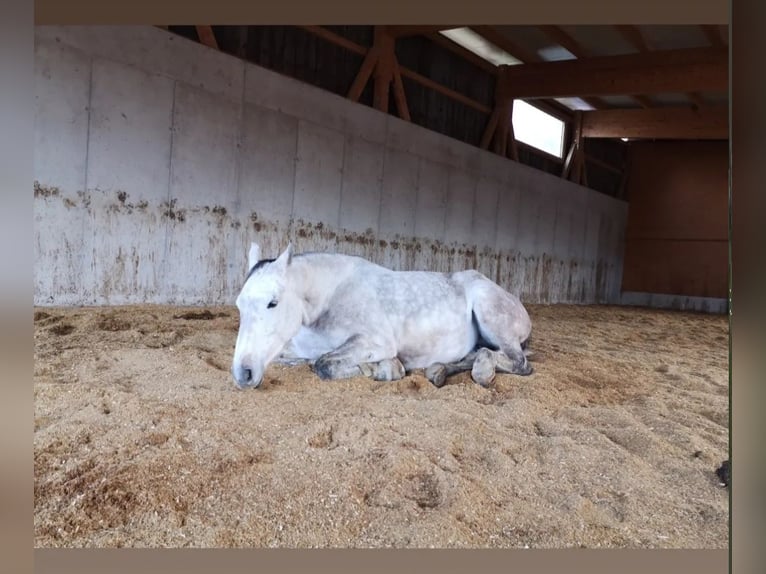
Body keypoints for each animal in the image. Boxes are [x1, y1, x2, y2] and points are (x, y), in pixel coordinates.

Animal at [232, 243, 536, 392]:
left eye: (273, 302)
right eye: (239, 305)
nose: (243, 374)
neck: (330, 298)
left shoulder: (375, 342)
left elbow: (323, 364)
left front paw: (386, 369)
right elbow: (297, 360)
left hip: (489, 311)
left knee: (517, 362)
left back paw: (481, 370)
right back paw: (438, 371)